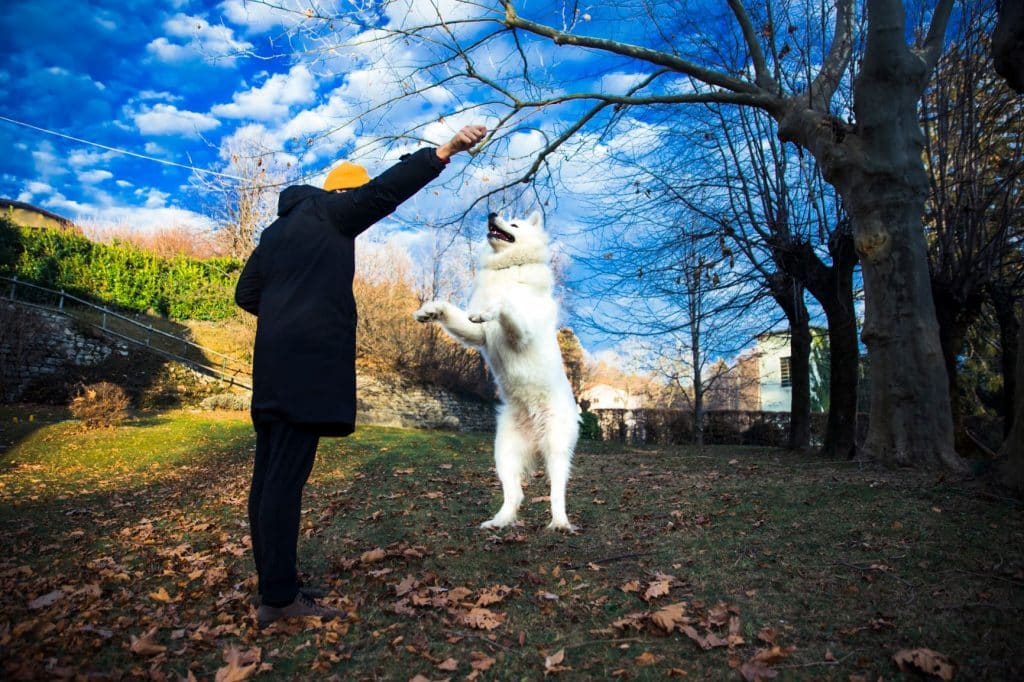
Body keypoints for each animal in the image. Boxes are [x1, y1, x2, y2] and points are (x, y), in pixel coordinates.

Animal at [411, 209, 581, 528]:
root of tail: (534, 430)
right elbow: (454, 315)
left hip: (556, 450)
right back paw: (499, 522)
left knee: (556, 493)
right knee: (515, 495)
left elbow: (504, 307)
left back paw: (560, 524)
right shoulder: (477, 335)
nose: (491, 213)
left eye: (514, 224)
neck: (508, 269)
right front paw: (431, 310)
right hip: (504, 452)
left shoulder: (521, 333)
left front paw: (490, 309)